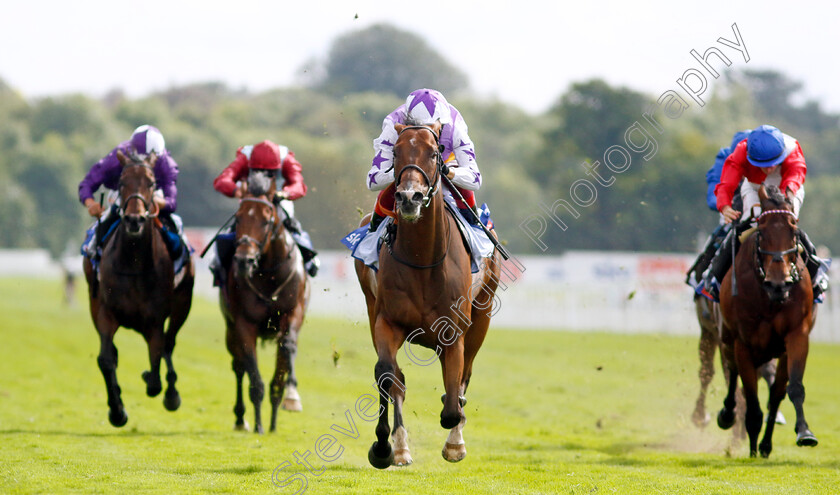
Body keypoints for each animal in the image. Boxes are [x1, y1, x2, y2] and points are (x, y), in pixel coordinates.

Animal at [83, 151, 195, 426]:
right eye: (122, 182)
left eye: (152, 183)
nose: (134, 220)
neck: (133, 261)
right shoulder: (105, 312)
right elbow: (106, 359)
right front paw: (117, 410)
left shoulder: (154, 320)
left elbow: (155, 370)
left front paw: (155, 383)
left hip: (182, 305)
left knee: (169, 344)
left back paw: (172, 394)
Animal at [220, 173, 308, 434]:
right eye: (238, 217)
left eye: (267, 221)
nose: (244, 260)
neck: (269, 276)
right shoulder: (243, 323)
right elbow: (253, 376)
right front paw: (259, 424)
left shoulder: (293, 311)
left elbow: (287, 349)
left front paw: (289, 400)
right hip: (229, 329)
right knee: (238, 367)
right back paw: (241, 419)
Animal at [352, 121, 502, 468]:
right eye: (395, 152)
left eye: (434, 154)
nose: (410, 197)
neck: (422, 258)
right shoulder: (386, 321)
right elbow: (387, 375)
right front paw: (383, 447)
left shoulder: (455, 332)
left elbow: (452, 400)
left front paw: (453, 441)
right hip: (370, 305)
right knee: (397, 378)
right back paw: (401, 448)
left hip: (483, 314)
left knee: (464, 377)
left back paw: (455, 441)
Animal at [716, 186, 820, 458]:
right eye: (761, 231)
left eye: (794, 231)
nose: (778, 284)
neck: (769, 299)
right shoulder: (743, 343)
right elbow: (751, 398)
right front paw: (752, 445)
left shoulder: (796, 335)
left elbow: (791, 389)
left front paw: (804, 432)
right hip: (726, 338)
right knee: (732, 374)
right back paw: (728, 415)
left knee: (775, 392)